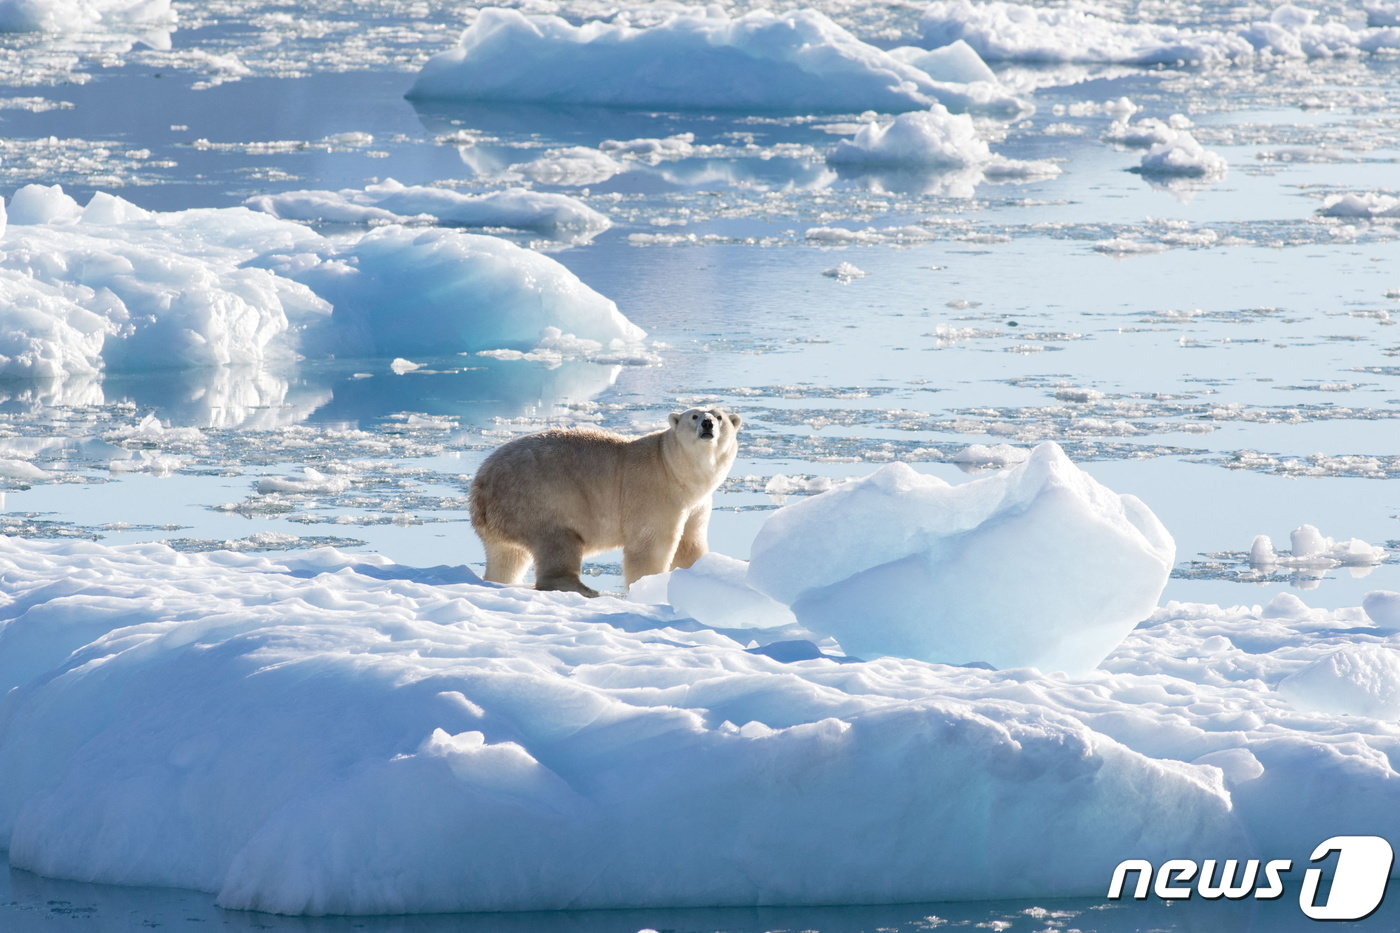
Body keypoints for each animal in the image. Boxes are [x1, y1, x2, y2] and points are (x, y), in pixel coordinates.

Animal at [470, 406, 744, 596]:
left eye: (719, 416)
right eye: (694, 416)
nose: (708, 423)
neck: (674, 469)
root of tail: (480, 483)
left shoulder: (697, 504)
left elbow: (690, 544)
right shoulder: (655, 492)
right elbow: (650, 546)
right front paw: (649, 586)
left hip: (506, 516)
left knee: (507, 556)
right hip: (540, 497)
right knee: (557, 541)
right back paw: (585, 589)